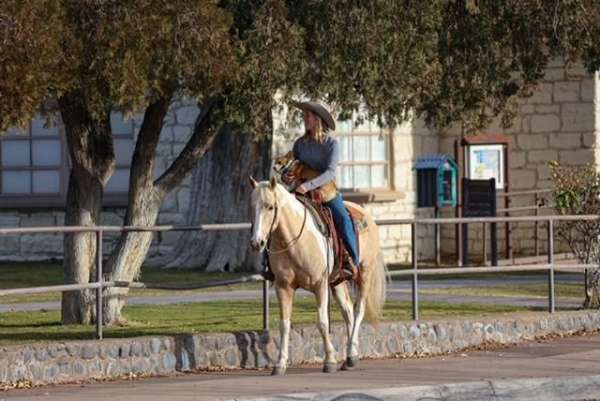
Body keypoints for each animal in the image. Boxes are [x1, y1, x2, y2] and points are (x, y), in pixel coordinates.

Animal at [250, 177, 386, 374]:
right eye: (252, 206)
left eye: (270, 207)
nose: (257, 242)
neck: (294, 241)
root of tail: (365, 215)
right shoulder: (283, 287)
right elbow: (284, 324)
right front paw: (280, 363)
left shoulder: (320, 285)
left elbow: (322, 323)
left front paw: (329, 360)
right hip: (337, 282)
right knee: (348, 312)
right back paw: (351, 356)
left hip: (364, 274)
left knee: (358, 310)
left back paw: (351, 355)